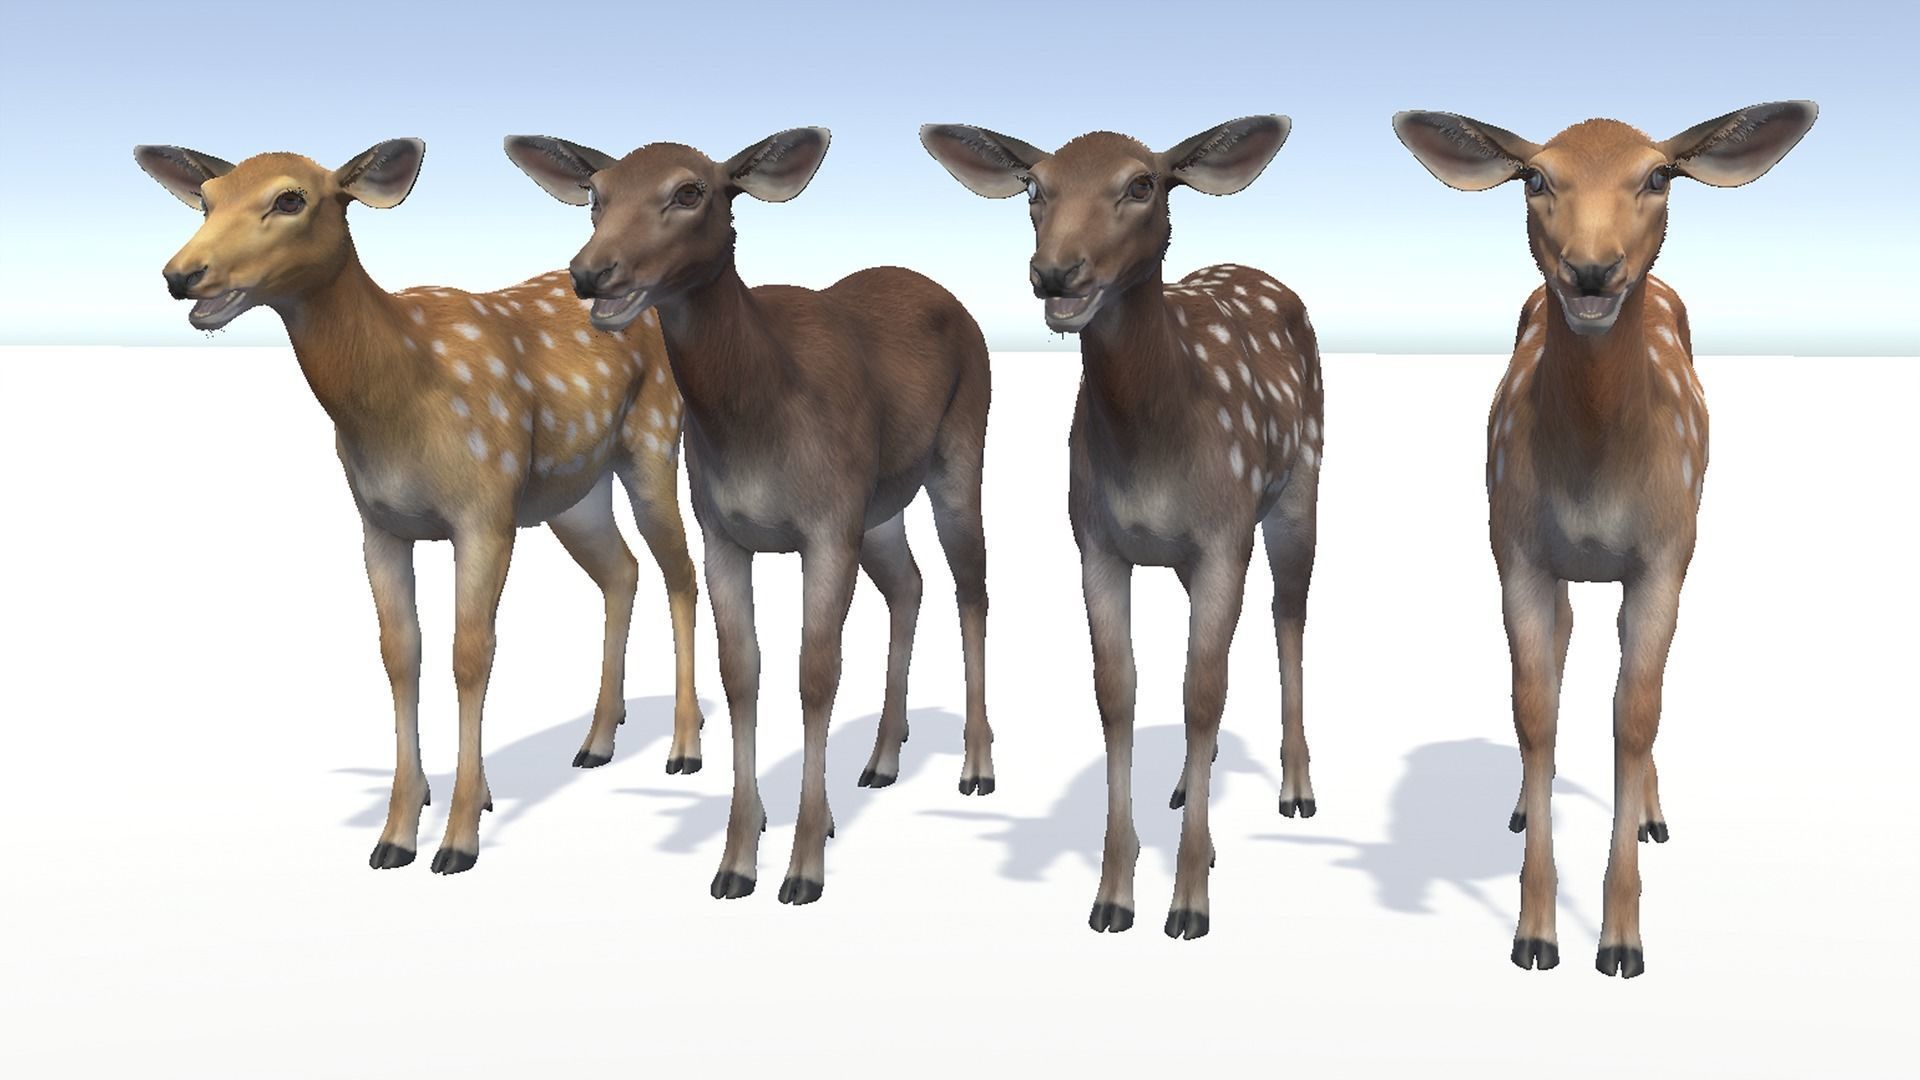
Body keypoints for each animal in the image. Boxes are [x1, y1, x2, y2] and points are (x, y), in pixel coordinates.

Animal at [134, 138, 707, 875]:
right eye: (206, 199)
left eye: (291, 198)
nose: (182, 275)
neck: (401, 394)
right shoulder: (378, 523)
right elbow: (400, 654)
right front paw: (398, 833)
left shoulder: (485, 510)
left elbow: (471, 653)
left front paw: (459, 837)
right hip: (571, 492)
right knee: (622, 570)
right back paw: (598, 740)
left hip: (653, 438)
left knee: (680, 571)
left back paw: (685, 748)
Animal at [504, 127, 995, 906]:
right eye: (595, 194)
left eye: (691, 190)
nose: (590, 273)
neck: (761, 413)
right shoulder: (724, 531)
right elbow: (741, 671)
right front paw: (737, 858)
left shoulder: (826, 528)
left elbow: (816, 673)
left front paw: (803, 867)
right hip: (879, 506)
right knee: (909, 583)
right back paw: (883, 759)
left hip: (958, 451)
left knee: (971, 585)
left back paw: (976, 768)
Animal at [922, 117, 1321, 940]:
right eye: (1035, 188)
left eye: (1142, 184)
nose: (1055, 273)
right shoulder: (1095, 541)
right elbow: (1118, 690)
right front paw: (1112, 893)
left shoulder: (1224, 538)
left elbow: (1202, 692)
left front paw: (1189, 902)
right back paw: (1186, 790)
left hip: (1300, 484)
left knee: (1289, 613)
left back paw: (1296, 788)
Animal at [1392, 100, 1817, 976]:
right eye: (1535, 177)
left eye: (1657, 176)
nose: (1592, 270)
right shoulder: (1514, 551)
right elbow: (1535, 707)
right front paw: (1534, 933)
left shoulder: (1663, 559)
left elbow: (1634, 714)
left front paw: (1621, 940)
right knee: (1558, 658)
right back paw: (1526, 804)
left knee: (1636, 695)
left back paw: (1653, 813)